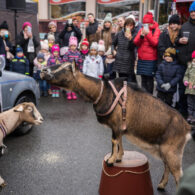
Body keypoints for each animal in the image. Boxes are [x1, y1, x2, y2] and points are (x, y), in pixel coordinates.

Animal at [40, 62, 191, 190]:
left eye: (66, 68)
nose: (43, 70)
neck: (102, 92)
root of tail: (186, 127)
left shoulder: (115, 124)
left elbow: (114, 141)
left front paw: (111, 160)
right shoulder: (119, 127)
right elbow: (119, 141)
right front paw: (119, 157)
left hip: (172, 151)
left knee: (178, 175)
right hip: (164, 150)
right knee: (167, 166)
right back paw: (161, 185)